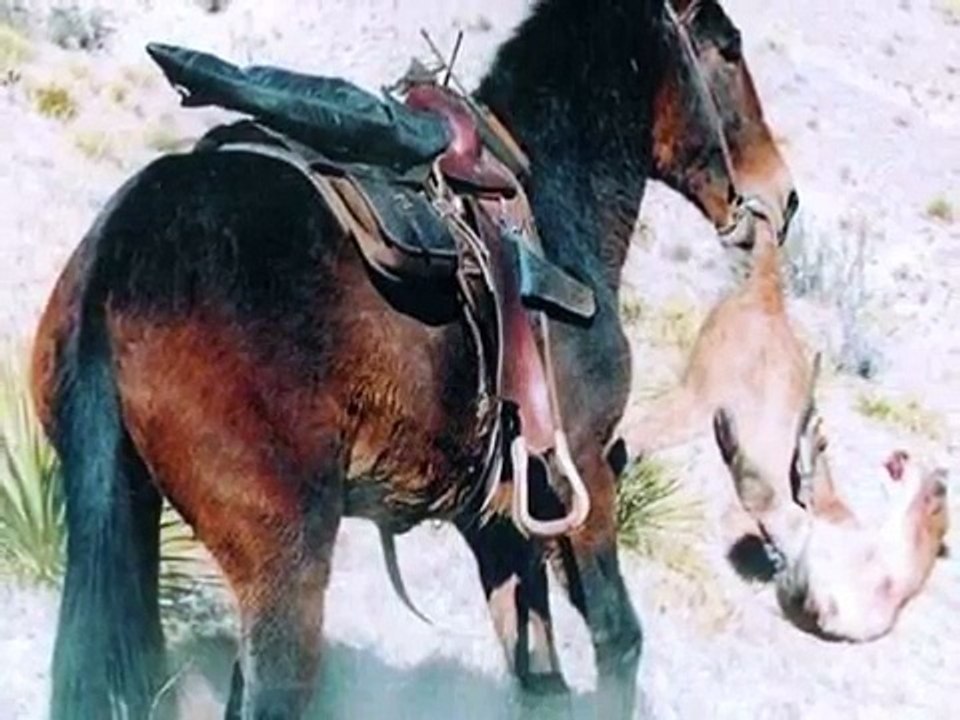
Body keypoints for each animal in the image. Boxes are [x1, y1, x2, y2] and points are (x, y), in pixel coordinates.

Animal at [30, 1, 795, 718]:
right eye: (727, 49)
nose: (781, 197)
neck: (551, 206)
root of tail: (123, 250)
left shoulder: (497, 522)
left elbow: (539, 673)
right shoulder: (580, 474)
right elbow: (617, 636)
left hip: (131, 514)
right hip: (285, 561)